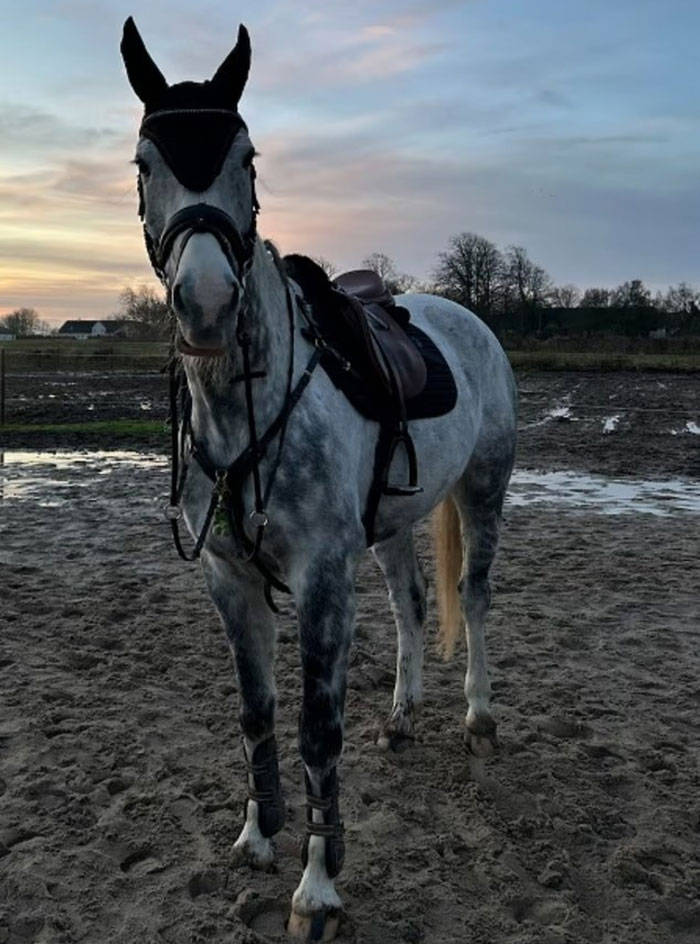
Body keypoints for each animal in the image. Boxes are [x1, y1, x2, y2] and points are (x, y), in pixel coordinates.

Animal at [121, 17, 517, 941]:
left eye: (249, 158)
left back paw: (478, 718)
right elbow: (257, 713)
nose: (205, 303)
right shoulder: (230, 580)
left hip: (483, 490)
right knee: (413, 605)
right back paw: (404, 719)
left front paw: (319, 886)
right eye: (145, 163)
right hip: (396, 522)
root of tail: (461, 314)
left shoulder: (324, 581)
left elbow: (314, 732)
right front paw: (257, 835)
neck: (245, 411)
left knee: (473, 596)